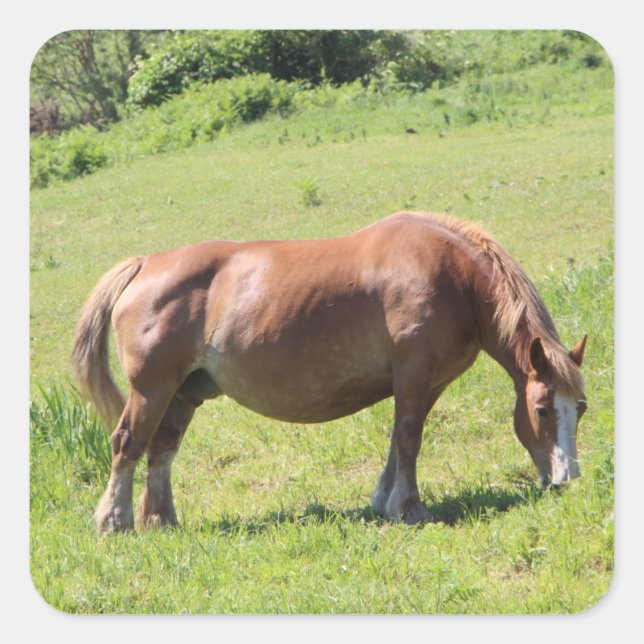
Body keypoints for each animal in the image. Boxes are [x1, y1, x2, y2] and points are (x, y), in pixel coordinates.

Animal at [71, 211, 588, 535]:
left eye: (580, 409)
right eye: (543, 408)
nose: (568, 480)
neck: (452, 278)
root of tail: (145, 265)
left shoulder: (426, 383)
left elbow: (398, 442)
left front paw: (385, 501)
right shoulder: (414, 375)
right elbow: (409, 440)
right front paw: (411, 508)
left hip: (183, 393)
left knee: (160, 452)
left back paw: (162, 521)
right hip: (152, 389)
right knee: (127, 445)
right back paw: (114, 522)